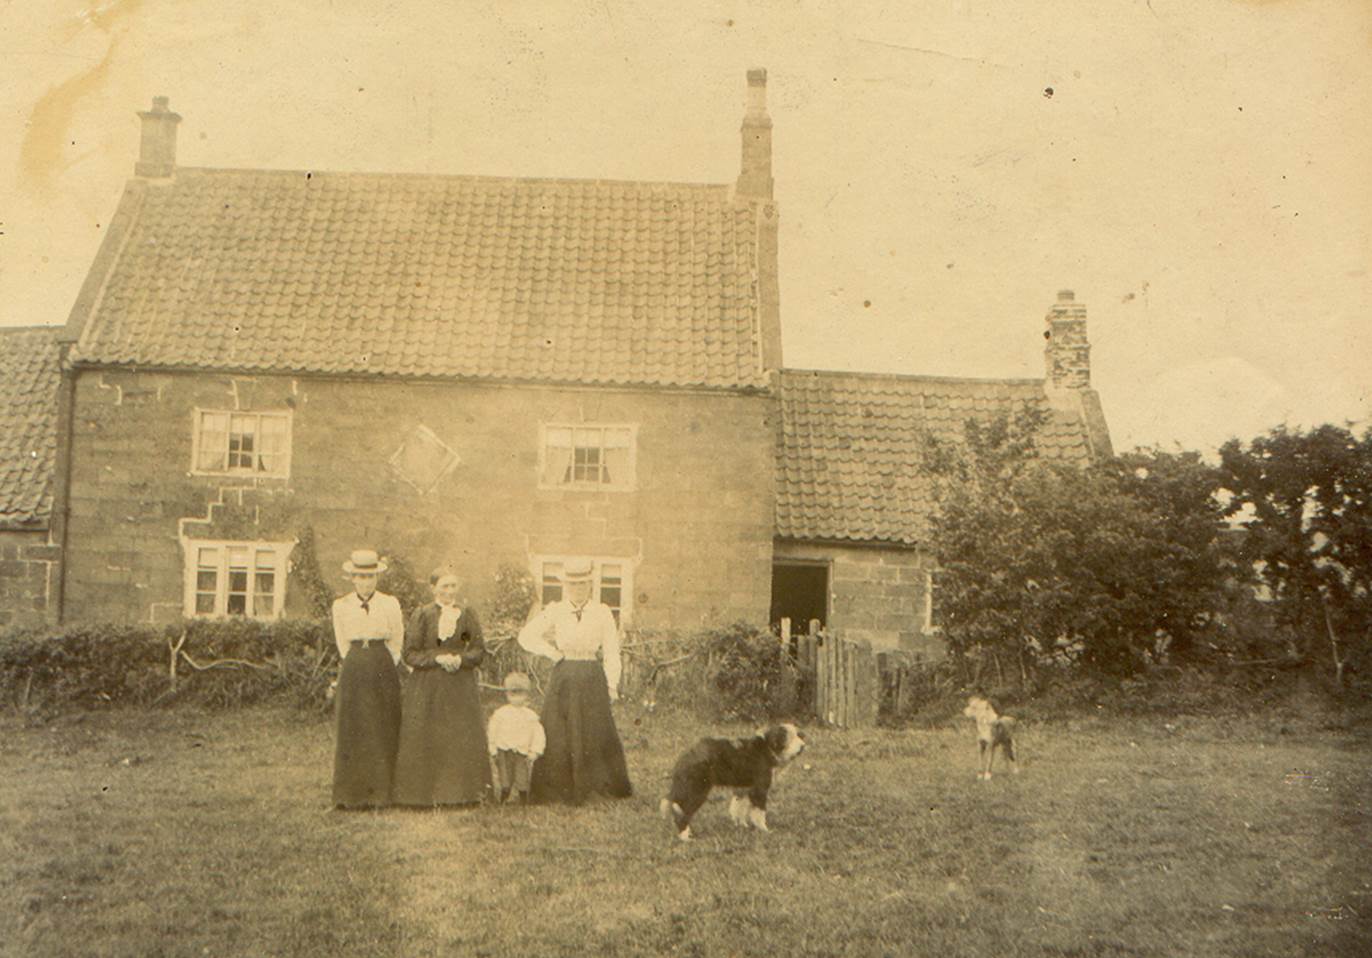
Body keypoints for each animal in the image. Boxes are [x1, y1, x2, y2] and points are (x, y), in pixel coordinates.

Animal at [661, 719, 801, 839]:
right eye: (788, 737)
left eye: (798, 735)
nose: (802, 746)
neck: (767, 748)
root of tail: (686, 756)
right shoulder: (759, 789)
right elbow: (759, 813)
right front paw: (764, 830)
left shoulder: (743, 789)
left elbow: (739, 809)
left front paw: (742, 826)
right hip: (696, 792)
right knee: (682, 814)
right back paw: (685, 836)